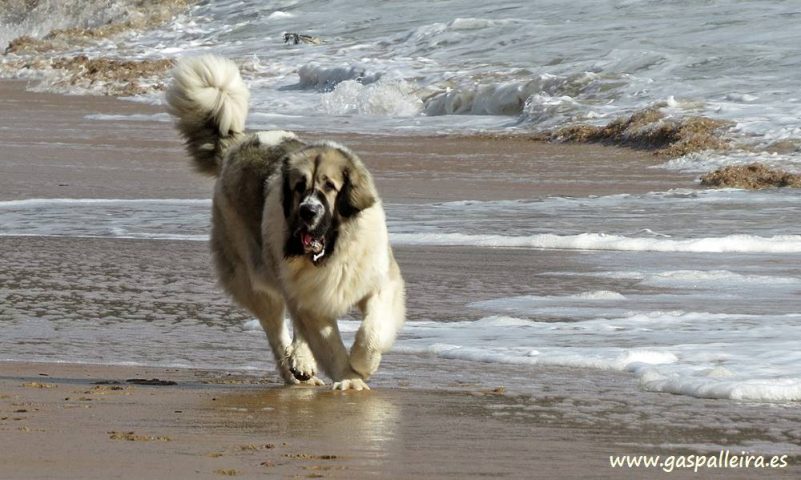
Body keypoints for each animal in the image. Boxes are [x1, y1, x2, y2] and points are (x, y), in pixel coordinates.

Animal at [167, 54, 406, 390]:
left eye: (329, 187)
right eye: (298, 187)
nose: (307, 212)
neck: (333, 251)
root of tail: (237, 144)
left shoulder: (378, 281)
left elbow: (373, 329)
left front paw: (362, 364)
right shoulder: (310, 301)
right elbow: (328, 344)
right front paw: (349, 378)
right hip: (254, 275)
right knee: (275, 327)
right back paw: (295, 369)